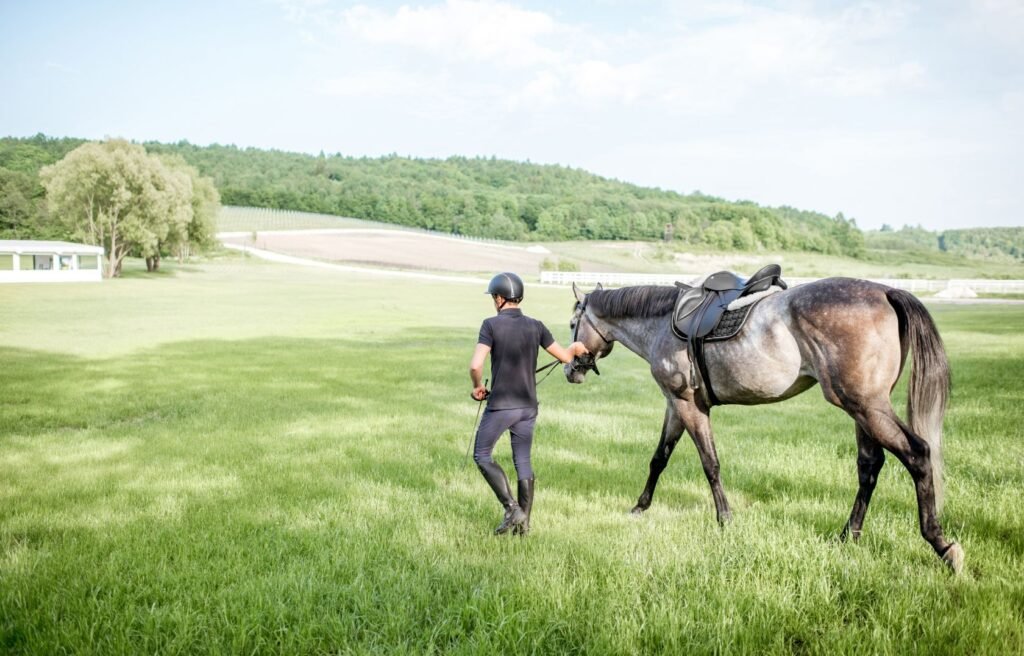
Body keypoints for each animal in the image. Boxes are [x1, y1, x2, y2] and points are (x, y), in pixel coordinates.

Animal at [565, 276, 963, 573]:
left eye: (572, 324)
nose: (571, 370)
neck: (663, 323)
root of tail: (886, 291)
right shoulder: (676, 406)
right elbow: (659, 458)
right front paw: (640, 507)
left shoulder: (688, 406)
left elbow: (710, 464)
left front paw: (725, 519)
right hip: (863, 409)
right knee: (869, 466)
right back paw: (848, 535)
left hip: (866, 407)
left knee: (918, 454)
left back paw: (941, 544)